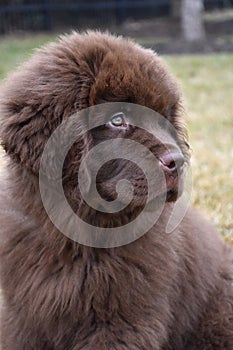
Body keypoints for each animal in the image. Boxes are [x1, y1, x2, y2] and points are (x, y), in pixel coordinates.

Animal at [0, 31, 232, 348]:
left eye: (165, 116)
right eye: (117, 120)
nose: (179, 161)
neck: (76, 236)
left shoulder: (121, 323)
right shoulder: (20, 320)